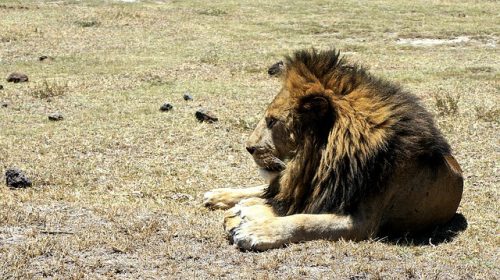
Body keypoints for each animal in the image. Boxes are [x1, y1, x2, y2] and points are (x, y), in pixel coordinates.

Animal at [201, 48, 462, 252]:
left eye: (272, 121)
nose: (249, 148)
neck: (324, 159)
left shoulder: (362, 222)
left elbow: (305, 221)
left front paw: (256, 232)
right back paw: (219, 196)